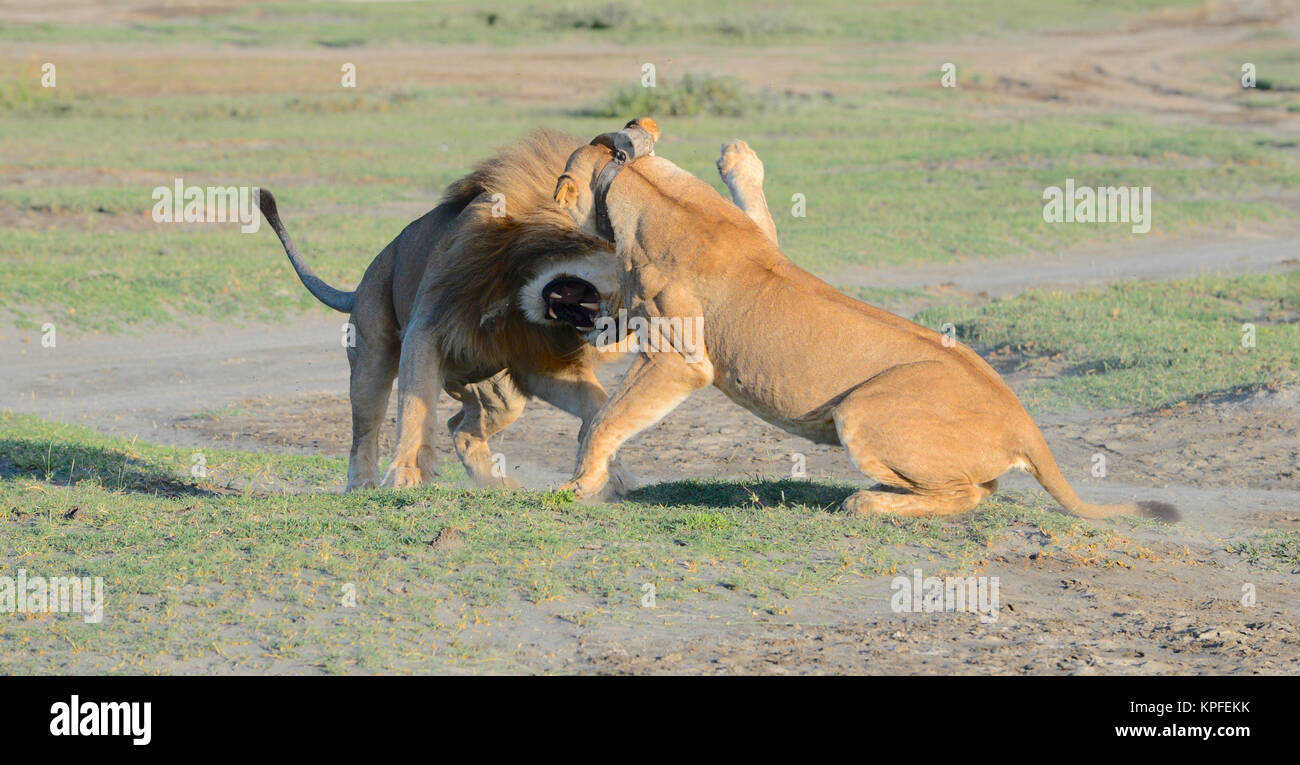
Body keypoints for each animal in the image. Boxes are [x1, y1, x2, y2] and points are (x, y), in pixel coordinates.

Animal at [548, 122, 1180, 523]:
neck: (641, 185)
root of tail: (1025, 423)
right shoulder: (758, 240)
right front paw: (737, 155)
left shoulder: (680, 359)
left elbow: (605, 419)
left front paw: (579, 485)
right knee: (983, 486)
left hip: (861, 409)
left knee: (970, 493)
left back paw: (868, 503)